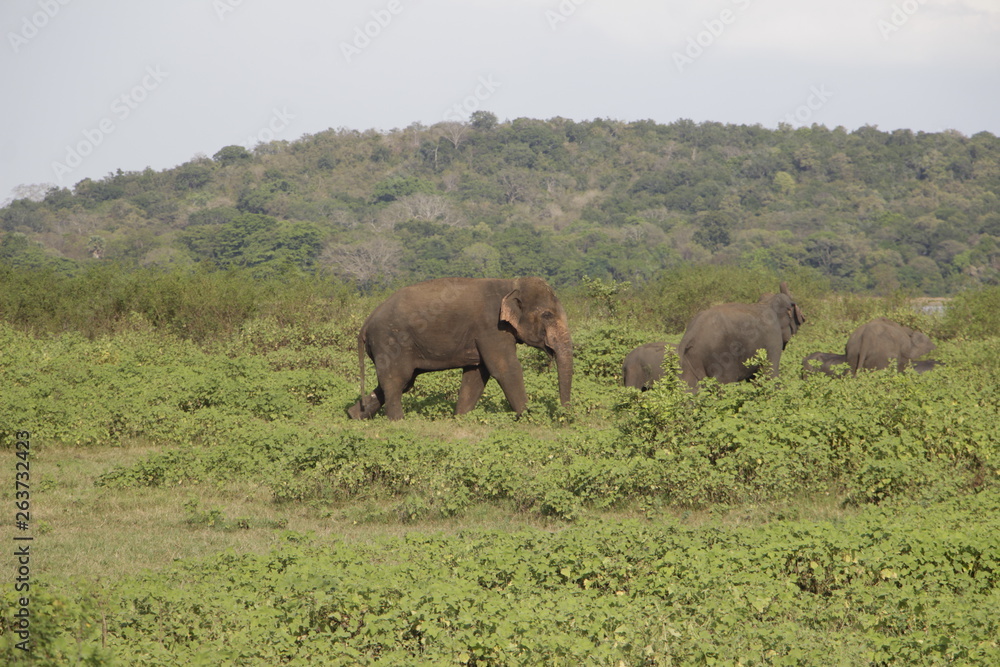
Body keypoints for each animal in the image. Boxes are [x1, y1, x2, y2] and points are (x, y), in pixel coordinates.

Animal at [676, 284, 808, 392]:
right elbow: (769, 373)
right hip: (719, 357)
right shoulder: (773, 336)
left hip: (691, 357)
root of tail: (691, 332)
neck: (767, 302)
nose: (804, 318)